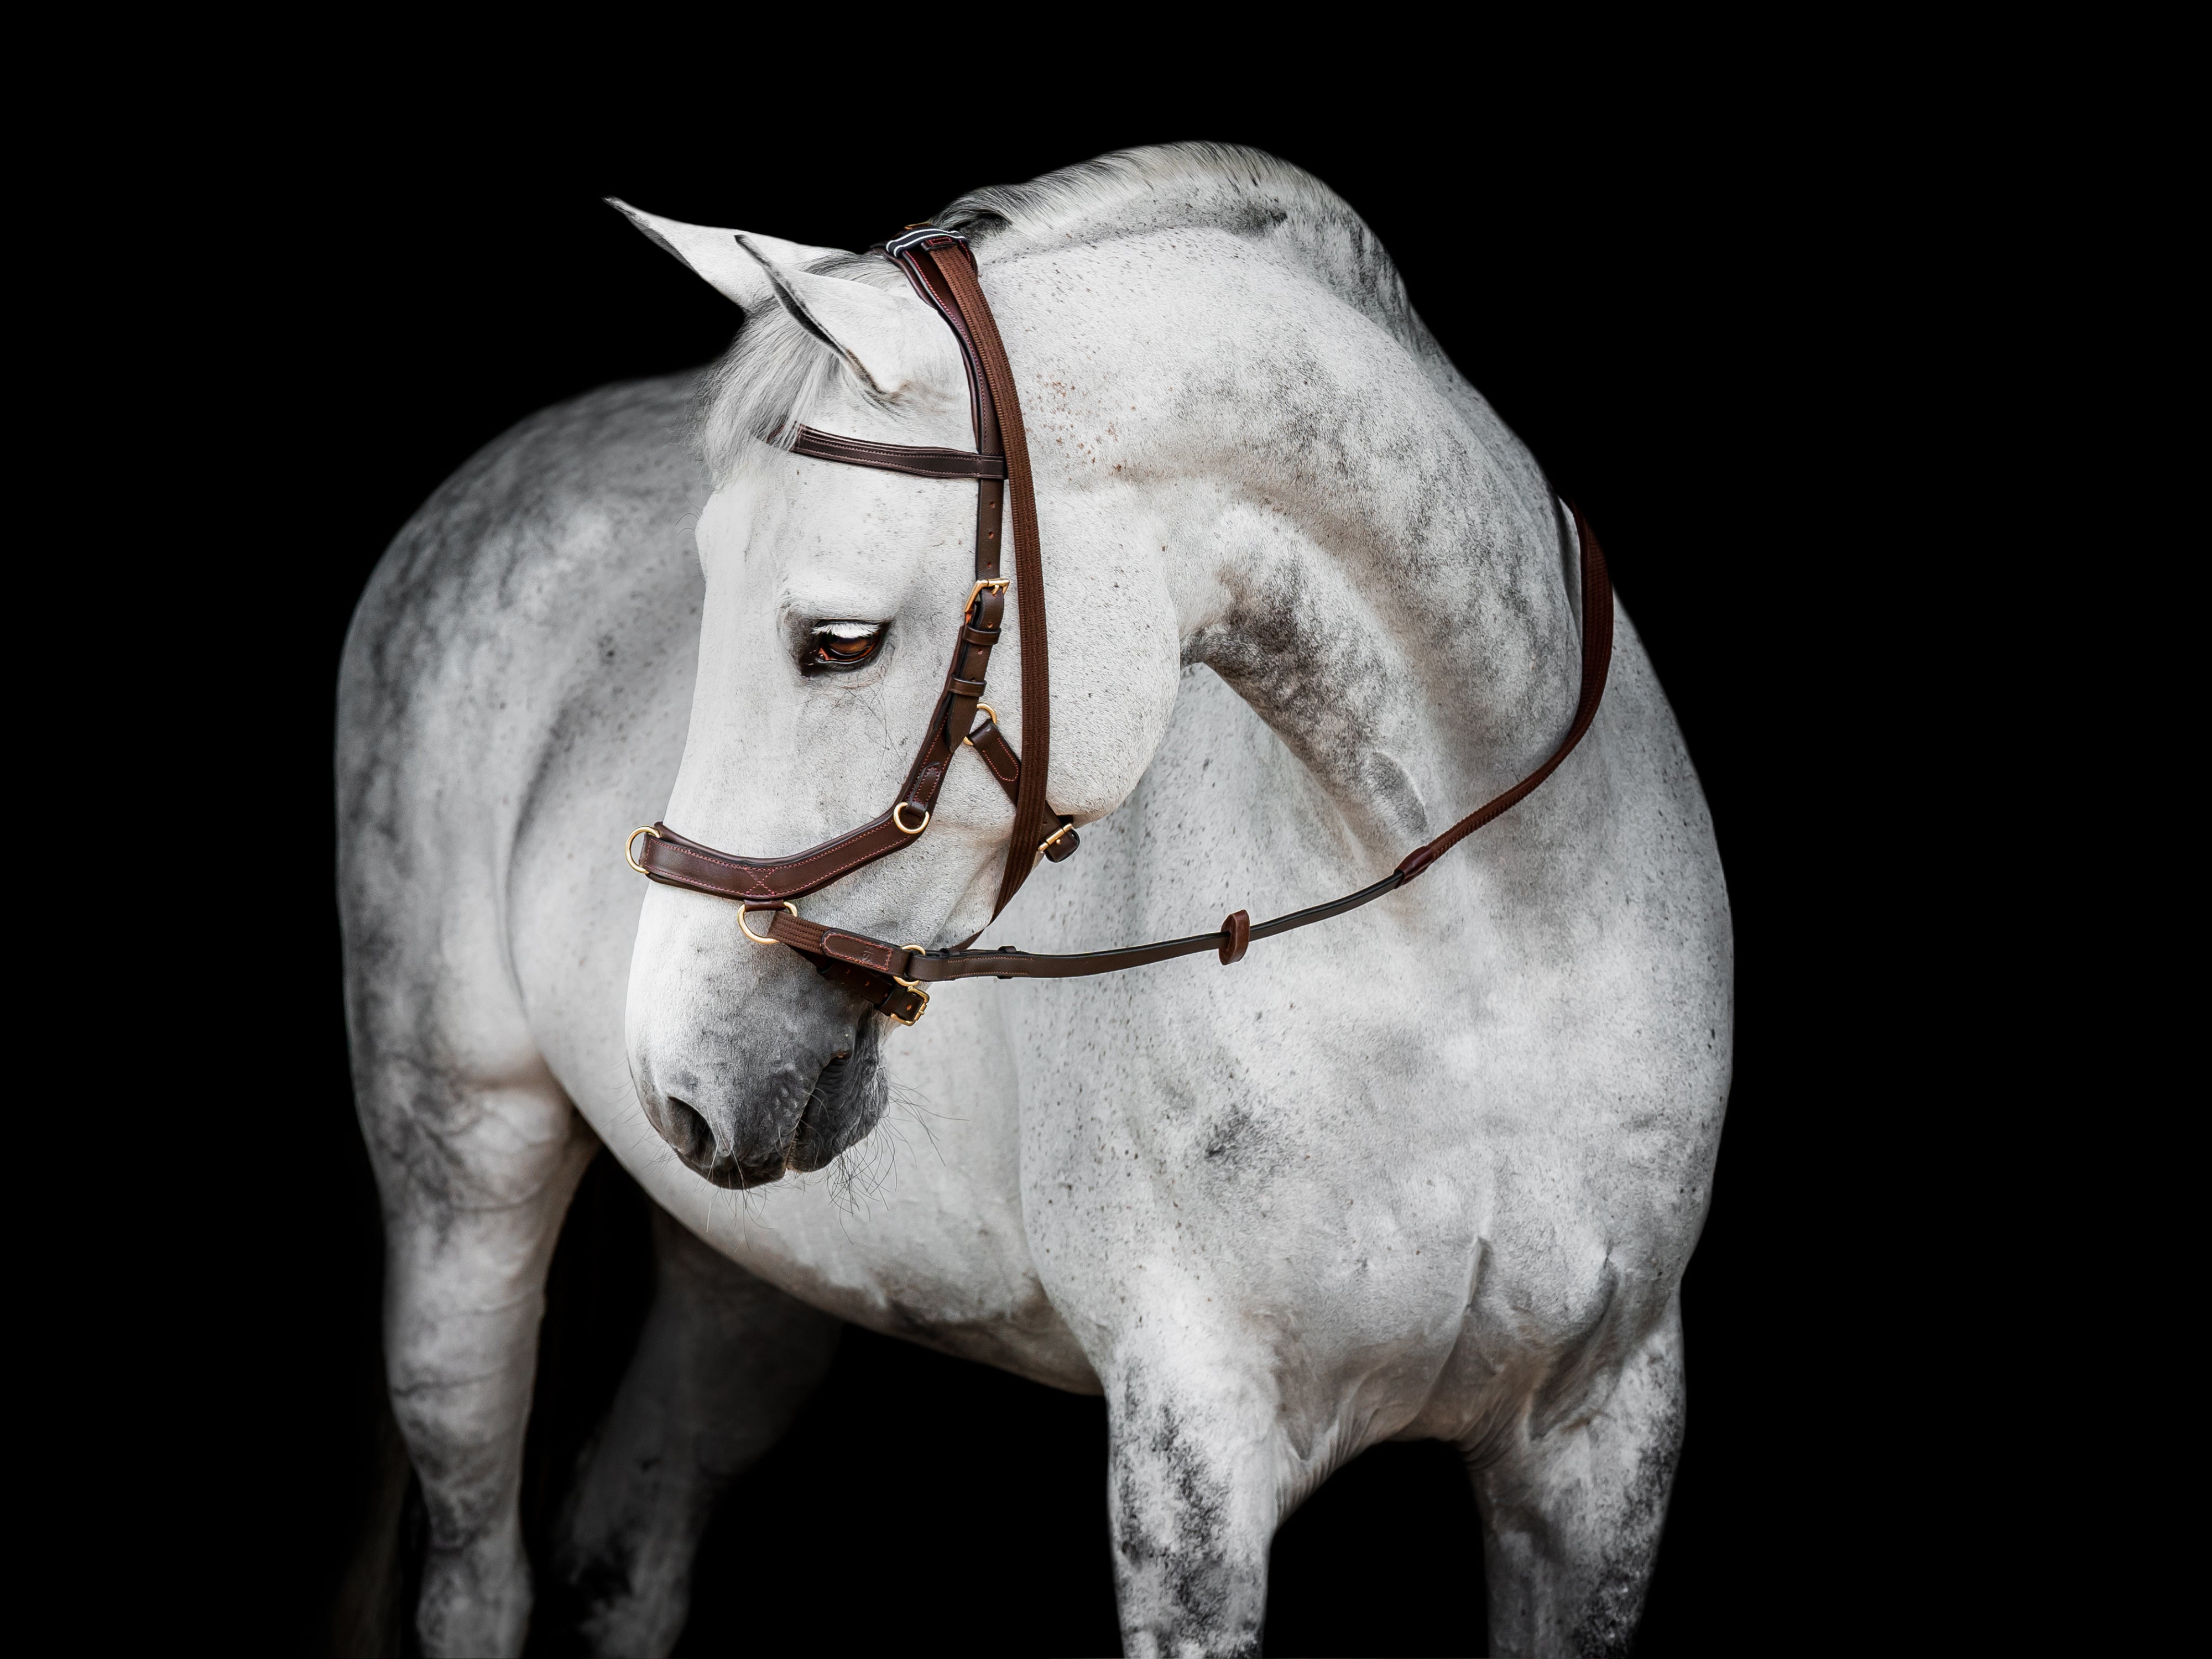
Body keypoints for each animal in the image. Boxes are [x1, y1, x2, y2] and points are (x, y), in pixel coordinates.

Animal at [337, 142, 1731, 1659]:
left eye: (839, 643)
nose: (677, 1071)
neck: (1476, 953)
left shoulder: (1599, 1438)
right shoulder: (1195, 1446)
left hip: (746, 1278)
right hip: (461, 1181)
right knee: (479, 1573)